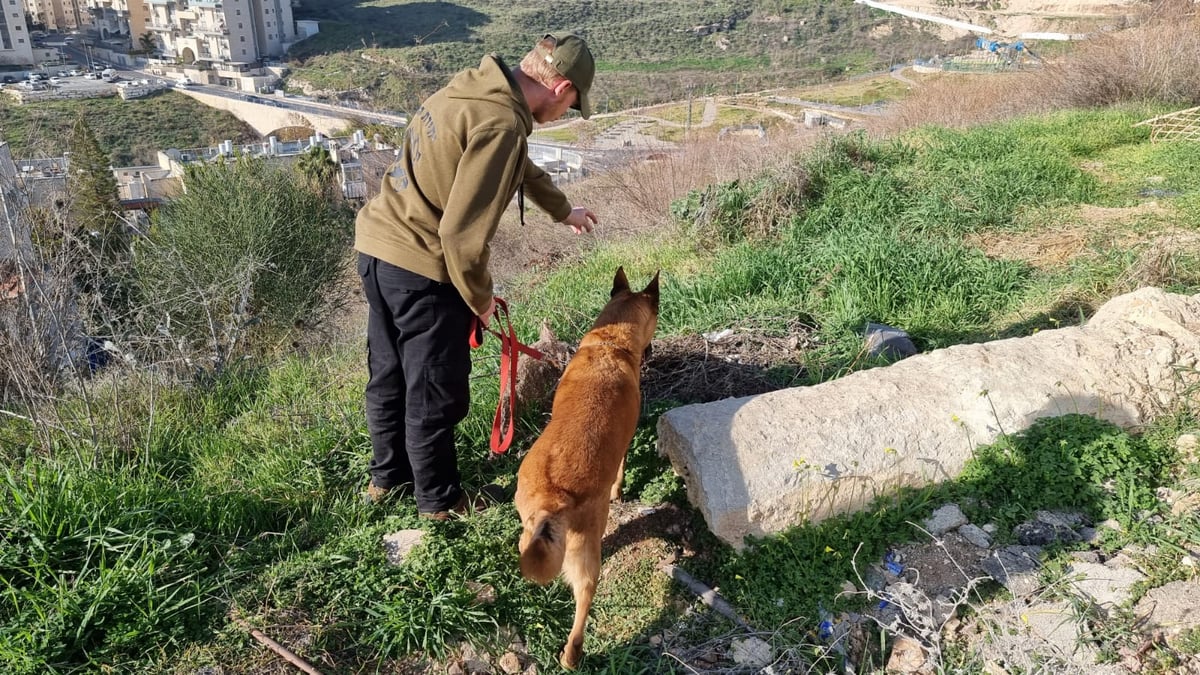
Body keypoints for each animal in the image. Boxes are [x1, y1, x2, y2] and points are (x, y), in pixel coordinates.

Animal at [516, 265, 662, 662]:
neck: (609, 343)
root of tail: (553, 496)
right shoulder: (625, 442)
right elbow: (622, 468)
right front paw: (620, 489)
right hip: (587, 548)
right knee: (584, 594)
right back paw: (573, 651)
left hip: (530, 529)